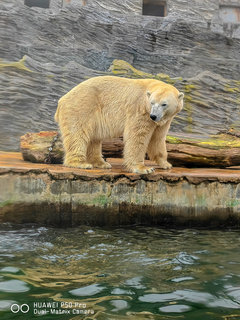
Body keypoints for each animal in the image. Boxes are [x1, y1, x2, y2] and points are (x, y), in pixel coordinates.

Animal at [54, 75, 184, 174]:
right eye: (152, 102)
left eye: (164, 104)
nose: (153, 116)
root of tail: (62, 100)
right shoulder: (139, 111)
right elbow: (137, 137)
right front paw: (144, 168)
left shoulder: (163, 121)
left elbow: (157, 138)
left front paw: (166, 164)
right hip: (81, 108)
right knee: (78, 135)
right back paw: (81, 163)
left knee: (94, 139)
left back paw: (101, 163)